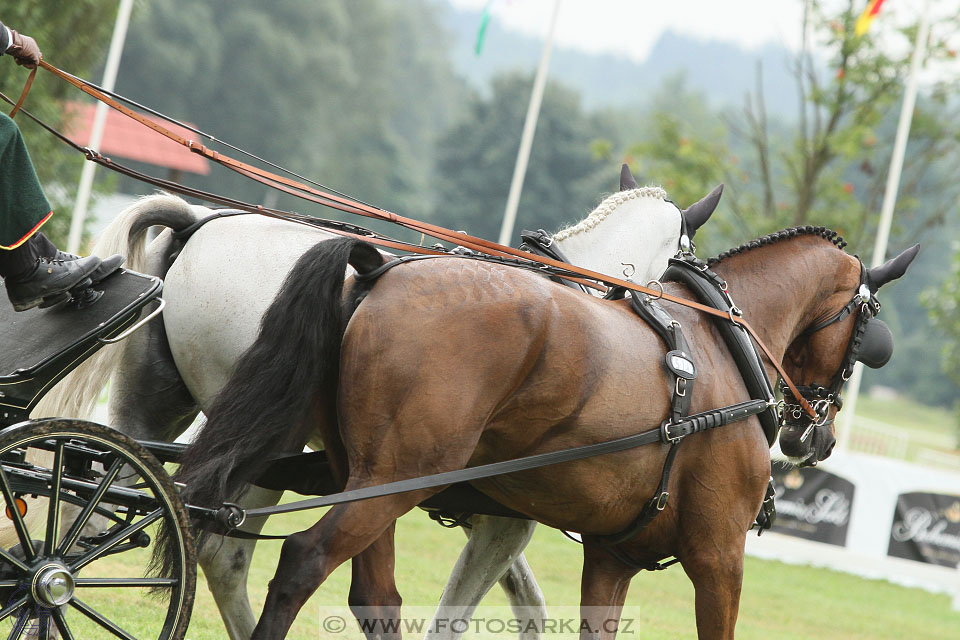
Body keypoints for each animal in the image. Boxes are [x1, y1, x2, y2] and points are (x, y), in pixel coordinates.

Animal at [31, 166, 720, 640]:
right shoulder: (501, 516)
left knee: (92, 508)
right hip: (271, 440)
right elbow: (485, 604)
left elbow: (519, 601)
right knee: (220, 551)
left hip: (155, 413)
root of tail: (199, 225)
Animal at [169, 226, 920, 640]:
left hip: (367, 477)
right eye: (868, 330)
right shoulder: (718, 556)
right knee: (301, 560)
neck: (719, 345)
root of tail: (379, 269)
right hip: (394, 480)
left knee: (374, 596)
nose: (816, 438)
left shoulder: (613, 558)